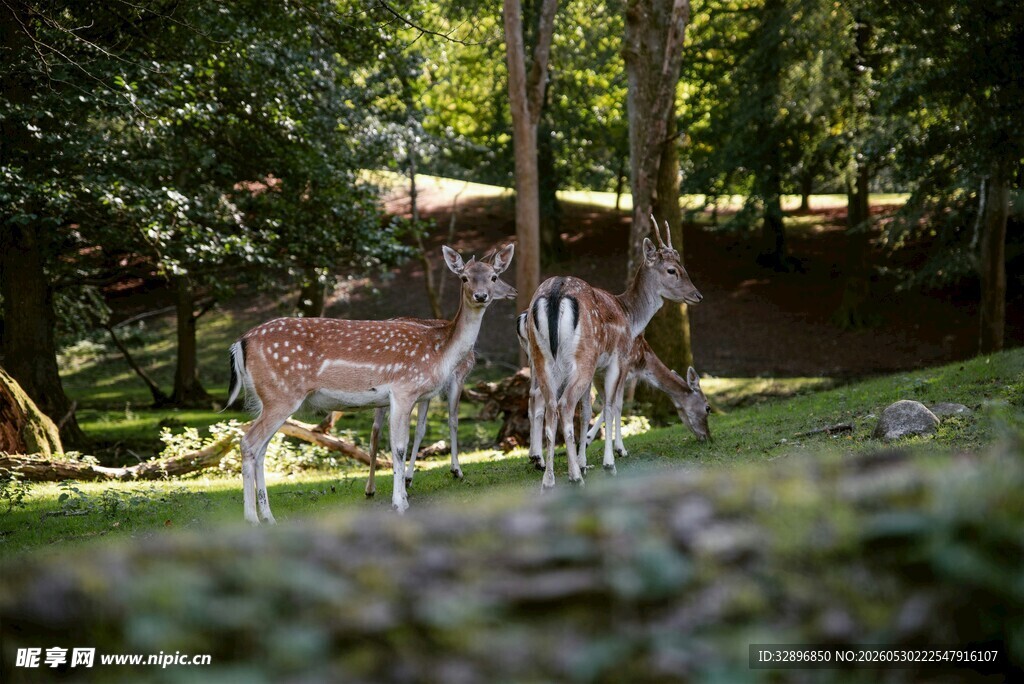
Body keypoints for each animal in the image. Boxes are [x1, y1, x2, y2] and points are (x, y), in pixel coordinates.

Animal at [227, 243, 515, 522]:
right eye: (464, 278)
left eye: (493, 276)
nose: (481, 296)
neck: (439, 351)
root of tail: (240, 342)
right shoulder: (403, 390)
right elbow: (399, 447)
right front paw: (400, 503)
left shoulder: (412, 396)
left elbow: (404, 441)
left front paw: (402, 496)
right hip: (280, 395)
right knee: (249, 443)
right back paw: (252, 518)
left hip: (270, 398)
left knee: (261, 449)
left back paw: (268, 517)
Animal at [524, 219, 701, 488]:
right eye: (672, 270)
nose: (697, 295)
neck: (629, 316)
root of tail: (555, 292)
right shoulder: (618, 359)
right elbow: (611, 405)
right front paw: (610, 461)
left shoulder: (597, 367)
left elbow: (588, 410)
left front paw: (585, 462)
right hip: (582, 358)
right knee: (565, 405)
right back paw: (574, 477)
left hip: (543, 358)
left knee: (549, 405)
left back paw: (549, 479)